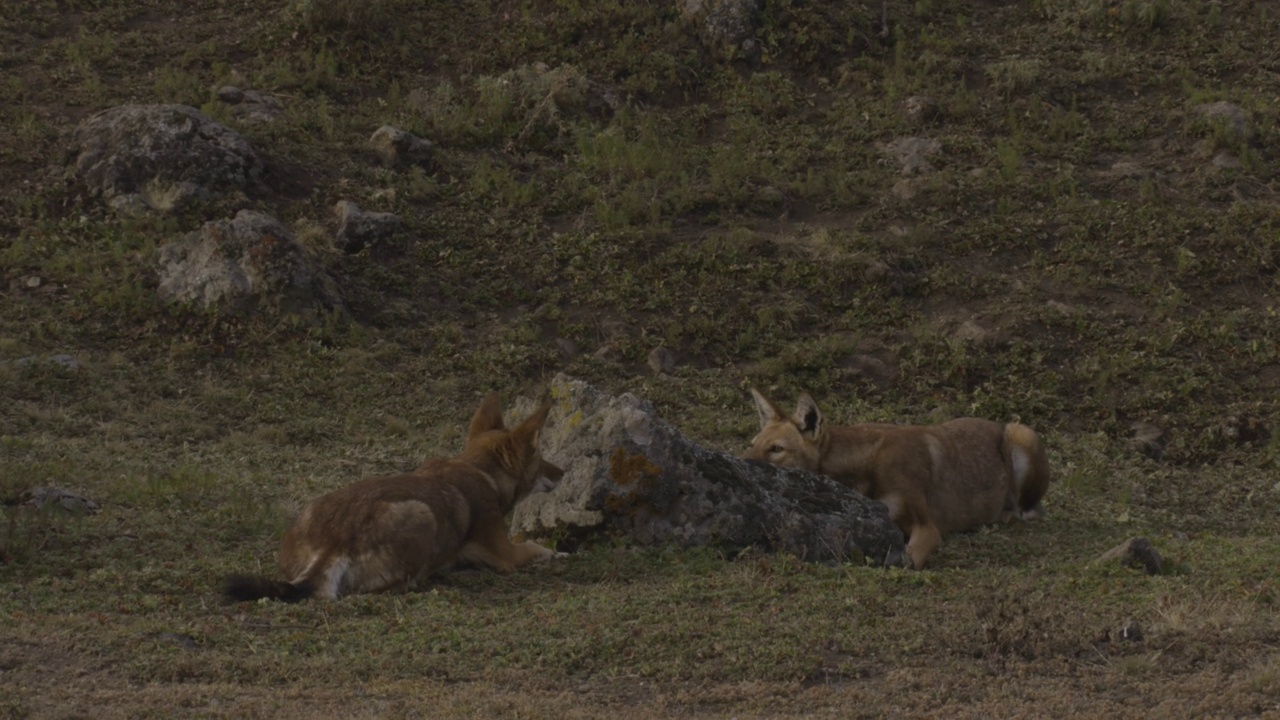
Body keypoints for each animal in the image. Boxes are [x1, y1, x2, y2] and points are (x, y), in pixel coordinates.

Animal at [224, 392, 560, 599]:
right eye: (540, 455)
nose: (563, 471)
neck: (478, 469)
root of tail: (334, 542)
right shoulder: (507, 556)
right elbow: (536, 547)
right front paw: (556, 553)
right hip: (422, 514)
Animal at [742, 386, 1049, 566]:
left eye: (776, 449)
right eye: (752, 444)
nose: (740, 464)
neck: (868, 464)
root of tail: (996, 423)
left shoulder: (927, 528)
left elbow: (907, 560)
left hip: (1021, 433)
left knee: (1024, 511)